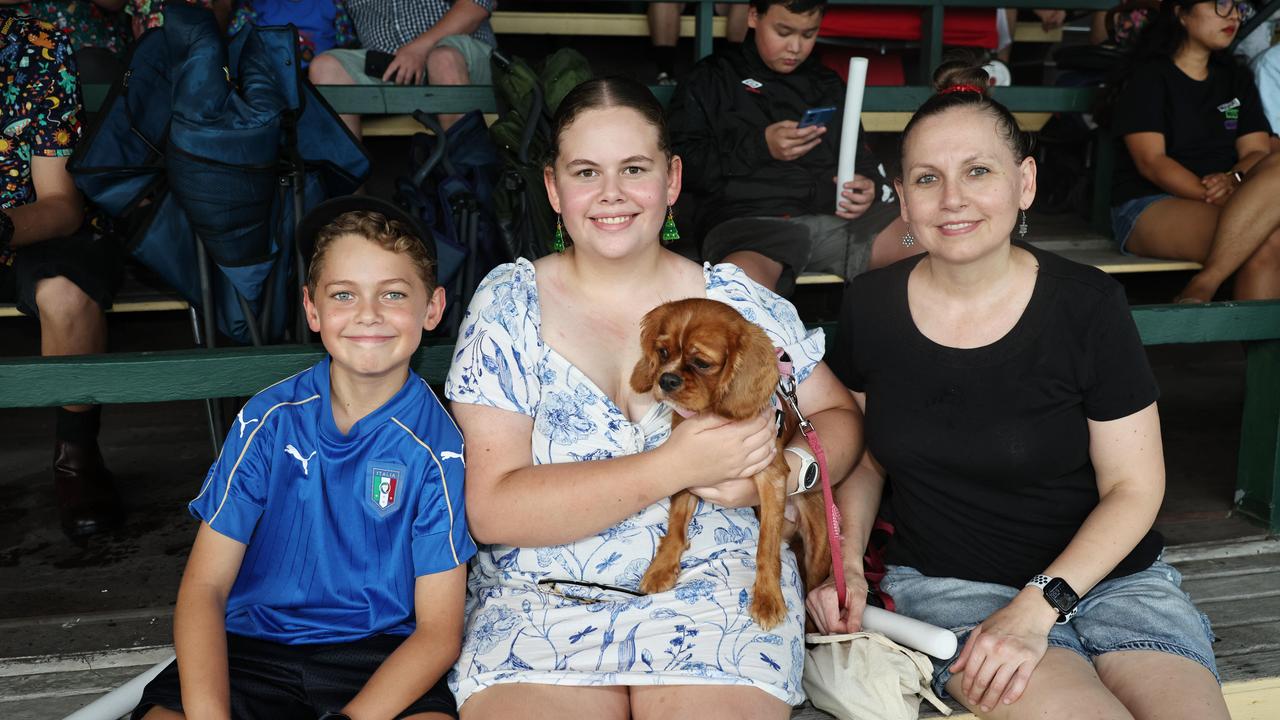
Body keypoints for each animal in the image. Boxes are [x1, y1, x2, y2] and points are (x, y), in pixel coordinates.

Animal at [629, 297, 829, 627]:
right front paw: (661, 567)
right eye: (663, 352)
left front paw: (767, 597)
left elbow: (766, 546)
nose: (666, 379)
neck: (712, 413)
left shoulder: (771, 477)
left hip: (819, 547)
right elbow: (676, 524)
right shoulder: (687, 470)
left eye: (702, 363)